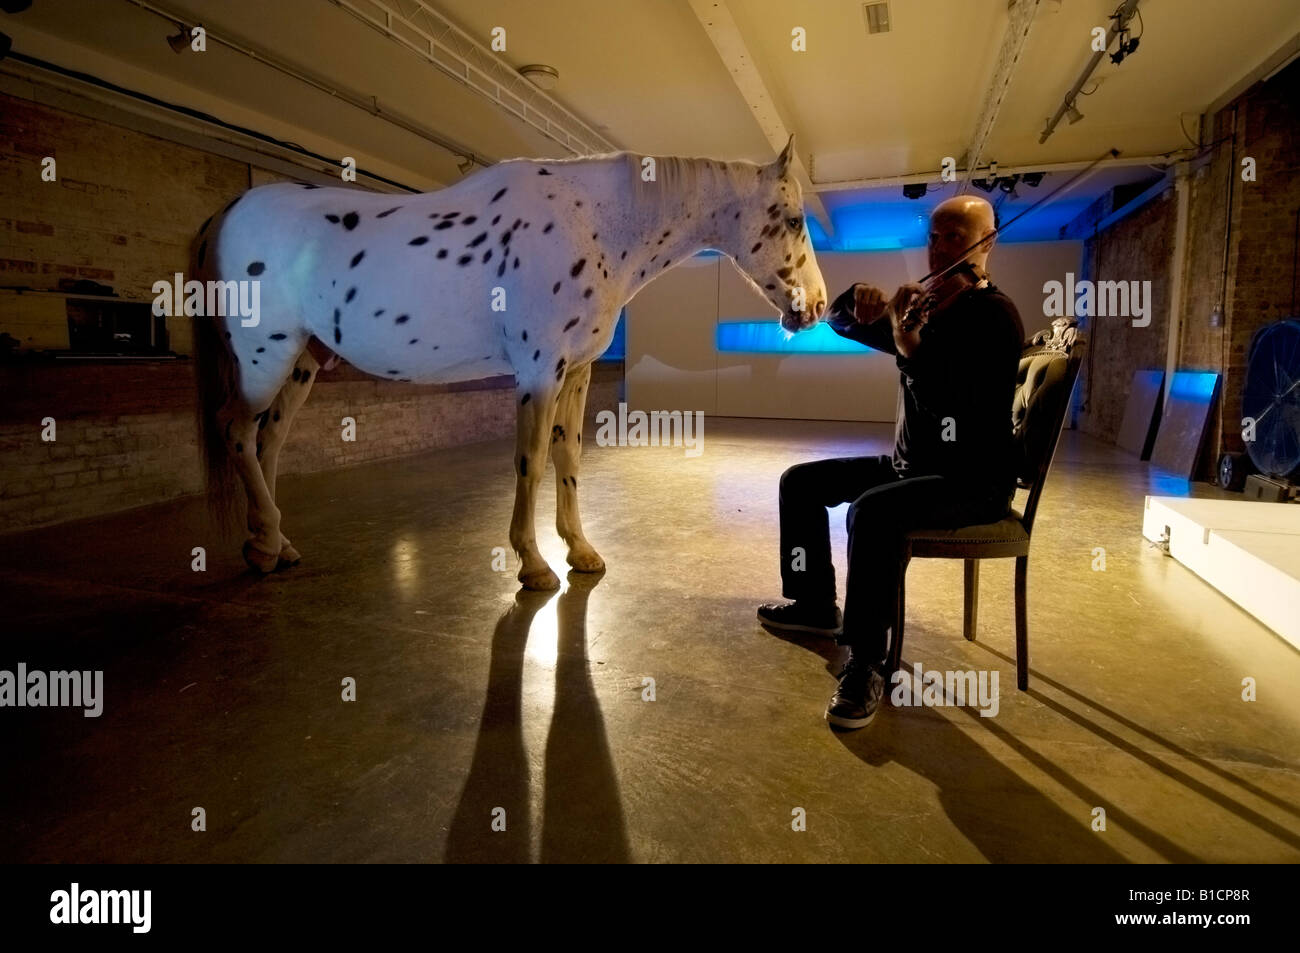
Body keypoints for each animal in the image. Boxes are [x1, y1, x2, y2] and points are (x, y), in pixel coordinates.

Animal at [189, 133, 832, 587]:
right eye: (795, 219)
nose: (819, 306)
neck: (592, 220)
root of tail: (226, 213)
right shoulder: (538, 370)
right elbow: (531, 459)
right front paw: (533, 562)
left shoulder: (576, 371)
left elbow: (568, 456)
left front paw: (581, 551)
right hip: (263, 357)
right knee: (237, 432)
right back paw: (264, 546)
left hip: (299, 362)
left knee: (268, 441)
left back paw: (275, 544)